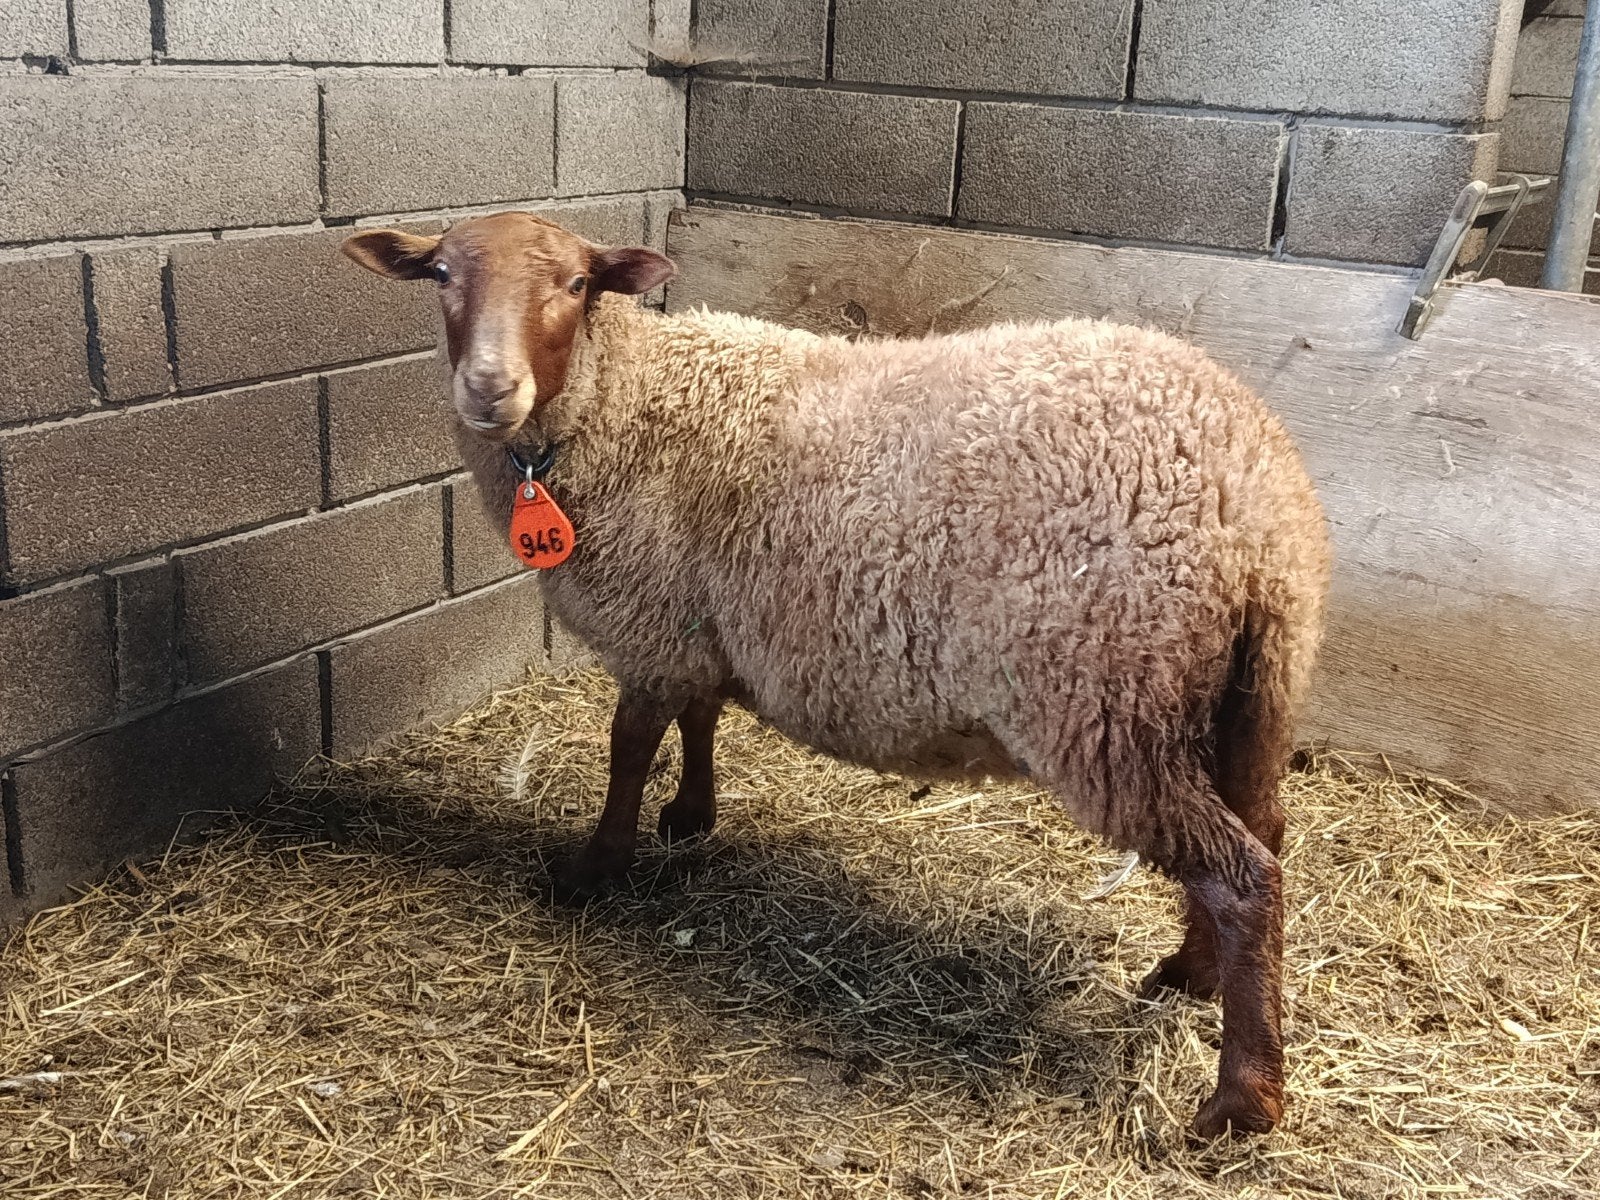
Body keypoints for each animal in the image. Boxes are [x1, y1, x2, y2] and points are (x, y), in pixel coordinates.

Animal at [341, 210, 1333, 1138]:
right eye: (441, 273)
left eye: (578, 284)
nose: (489, 389)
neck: (620, 398)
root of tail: (1253, 501)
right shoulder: (703, 619)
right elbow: (702, 719)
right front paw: (690, 816)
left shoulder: (652, 626)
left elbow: (627, 750)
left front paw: (597, 866)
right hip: (1247, 690)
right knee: (1264, 834)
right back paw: (1192, 976)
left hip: (1103, 701)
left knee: (1241, 875)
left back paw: (1243, 1098)